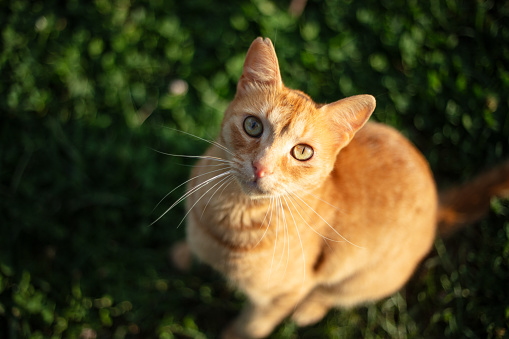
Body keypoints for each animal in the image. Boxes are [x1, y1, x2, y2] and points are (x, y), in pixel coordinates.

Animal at [171, 37, 508, 339]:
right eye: (252, 126)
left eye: (302, 152)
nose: (261, 167)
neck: (228, 218)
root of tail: (437, 207)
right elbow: (191, 243)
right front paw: (183, 254)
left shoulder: (282, 295)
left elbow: (252, 326)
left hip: (362, 280)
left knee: (333, 296)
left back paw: (309, 309)